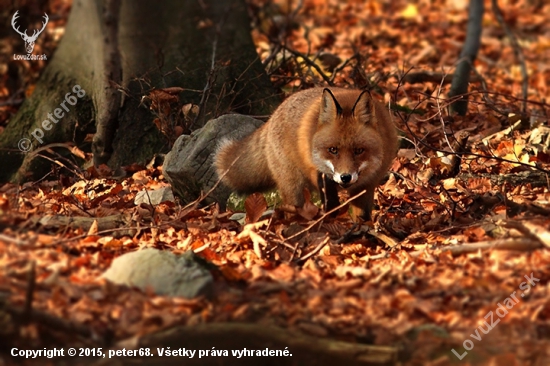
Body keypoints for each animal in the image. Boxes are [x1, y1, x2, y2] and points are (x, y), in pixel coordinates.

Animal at [213, 88, 398, 220]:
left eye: (358, 150)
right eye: (333, 150)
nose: (345, 177)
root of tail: (272, 116)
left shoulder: (368, 184)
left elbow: (363, 216)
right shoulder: (318, 172)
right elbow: (331, 204)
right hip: (294, 187)